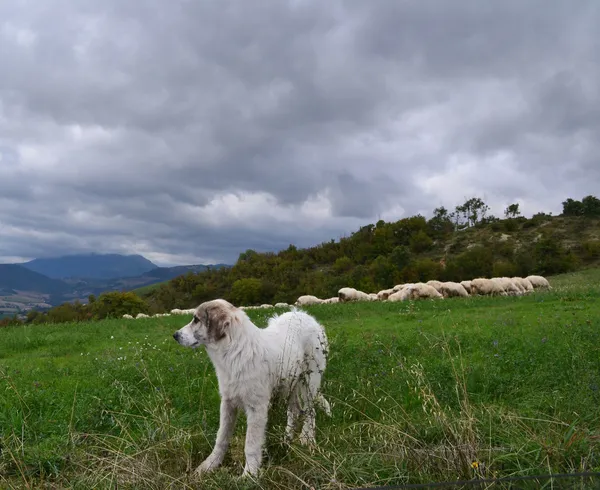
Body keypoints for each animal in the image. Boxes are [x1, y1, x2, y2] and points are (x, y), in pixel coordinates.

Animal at [173, 298, 330, 474]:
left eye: (196, 320)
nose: (175, 335)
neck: (233, 351)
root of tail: (304, 315)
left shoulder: (257, 408)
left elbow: (251, 445)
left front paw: (249, 474)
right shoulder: (227, 403)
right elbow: (221, 438)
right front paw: (210, 465)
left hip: (309, 382)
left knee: (310, 411)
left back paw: (307, 438)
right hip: (290, 384)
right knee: (294, 411)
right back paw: (286, 440)